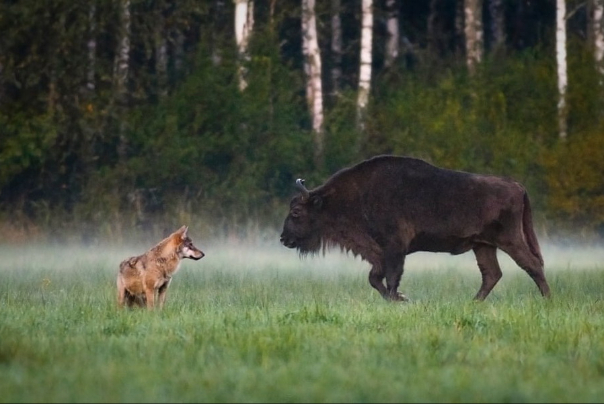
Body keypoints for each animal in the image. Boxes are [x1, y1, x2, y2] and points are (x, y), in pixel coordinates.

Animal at [280, 156, 552, 302]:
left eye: (296, 212)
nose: (283, 239)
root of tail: (517, 186)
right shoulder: (380, 253)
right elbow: (375, 279)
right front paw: (399, 299)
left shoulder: (393, 248)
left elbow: (390, 279)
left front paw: (399, 299)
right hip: (482, 245)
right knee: (492, 274)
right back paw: (473, 303)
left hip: (508, 240)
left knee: (531, 264)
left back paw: (548, 300)